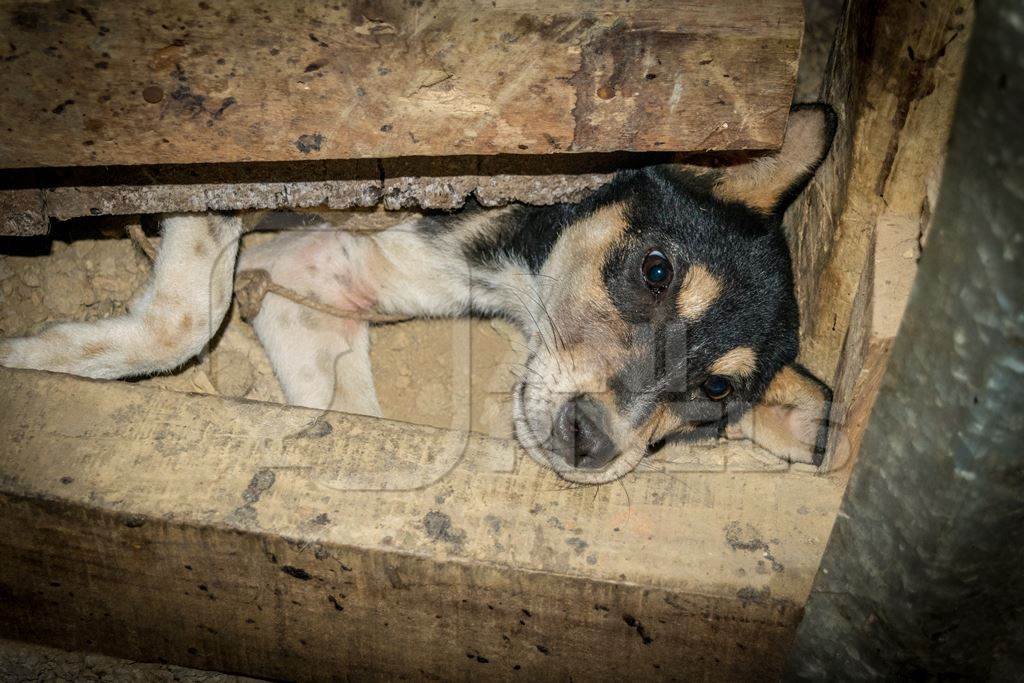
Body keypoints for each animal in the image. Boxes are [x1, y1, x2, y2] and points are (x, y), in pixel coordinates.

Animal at [0, 104, 831, 483]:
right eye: (657, 271)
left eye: (718, 392)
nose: (588, 442)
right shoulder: (221, 182)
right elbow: (186, 317)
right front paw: (28, 361)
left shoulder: (310, 292)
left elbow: (343, 414)